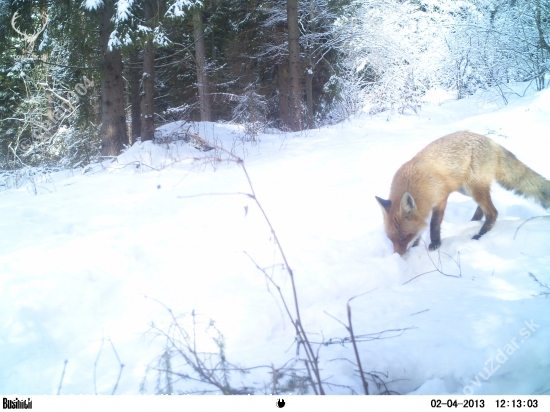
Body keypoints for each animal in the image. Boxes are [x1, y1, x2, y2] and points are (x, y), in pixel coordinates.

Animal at [378, 131, 550, 254]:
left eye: (404, 237)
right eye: (391, 239)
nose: (398, 257)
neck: (416, 183)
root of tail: (490, 141)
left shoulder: (441, 198)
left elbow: (434, 225)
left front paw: (435, 244)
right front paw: (416, 245)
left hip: (473, 187)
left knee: (493, 212)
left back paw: (480, 235)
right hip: (468, 190)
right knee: (484, 207)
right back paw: (473, 222)